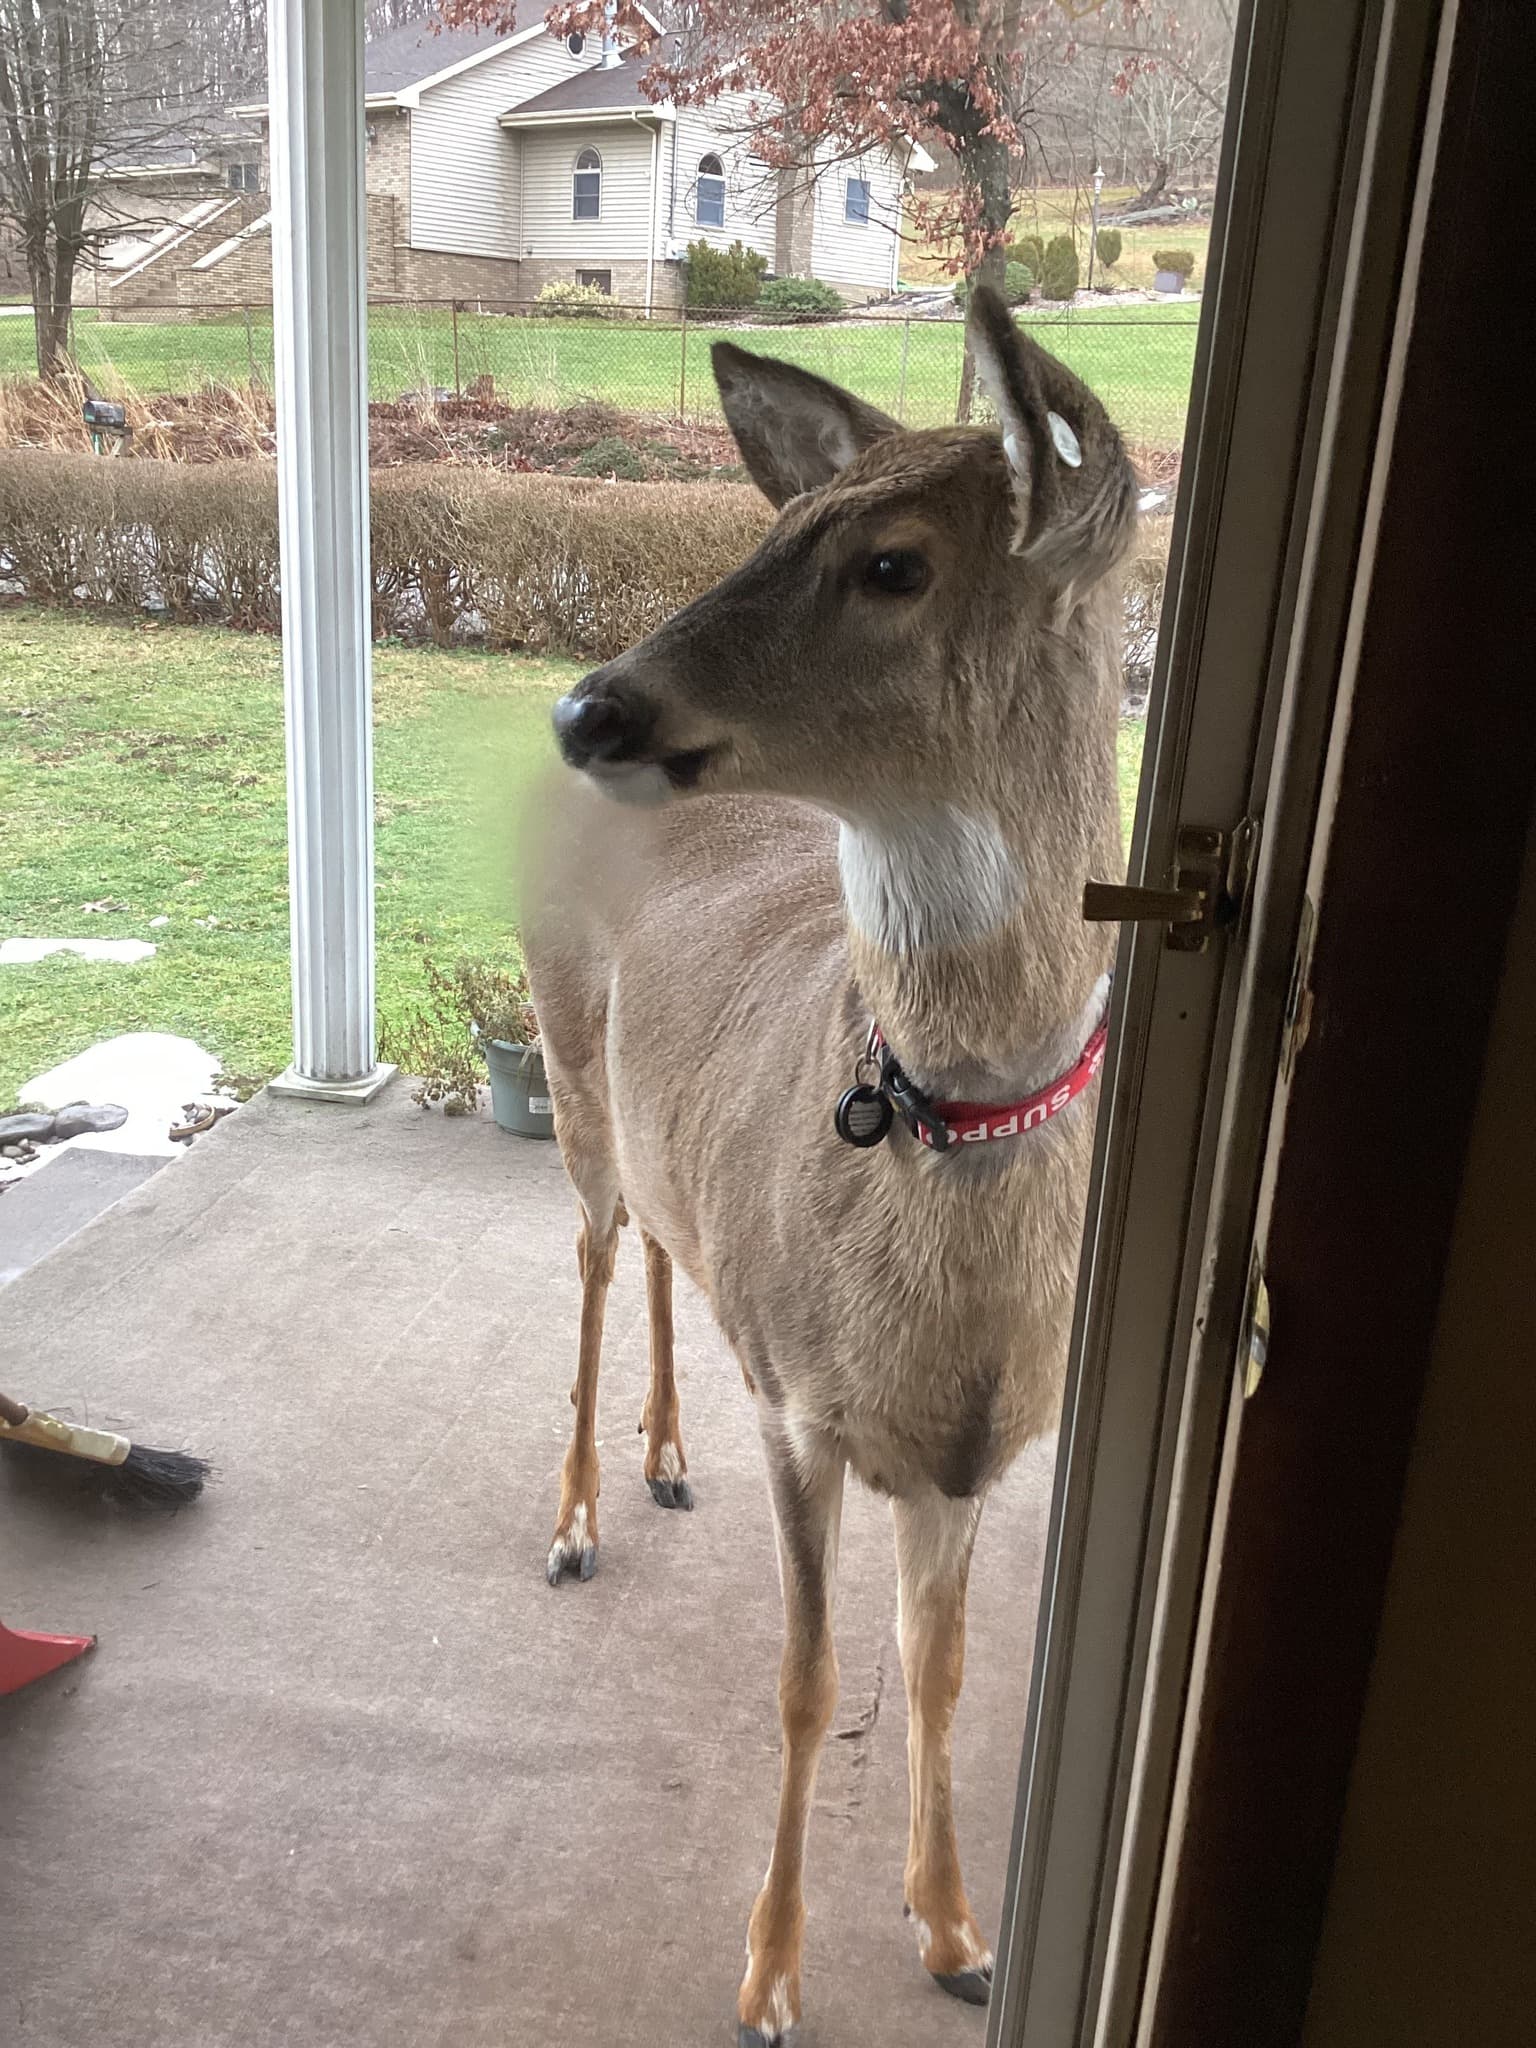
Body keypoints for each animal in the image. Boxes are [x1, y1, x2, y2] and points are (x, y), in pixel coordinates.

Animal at [520, 287, 1135, 2046]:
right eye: (777, 526)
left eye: (893, 564)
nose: (588, 708)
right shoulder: (803, 1404)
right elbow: (804, 1685)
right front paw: (770, 1976)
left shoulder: (976, 1453)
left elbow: (936, 1670)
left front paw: (956, 1930)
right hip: (567, 1063)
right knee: (592, 1257)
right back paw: (578, 1514)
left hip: (666, 1142)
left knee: (669, 1247)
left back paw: (665, 1453)